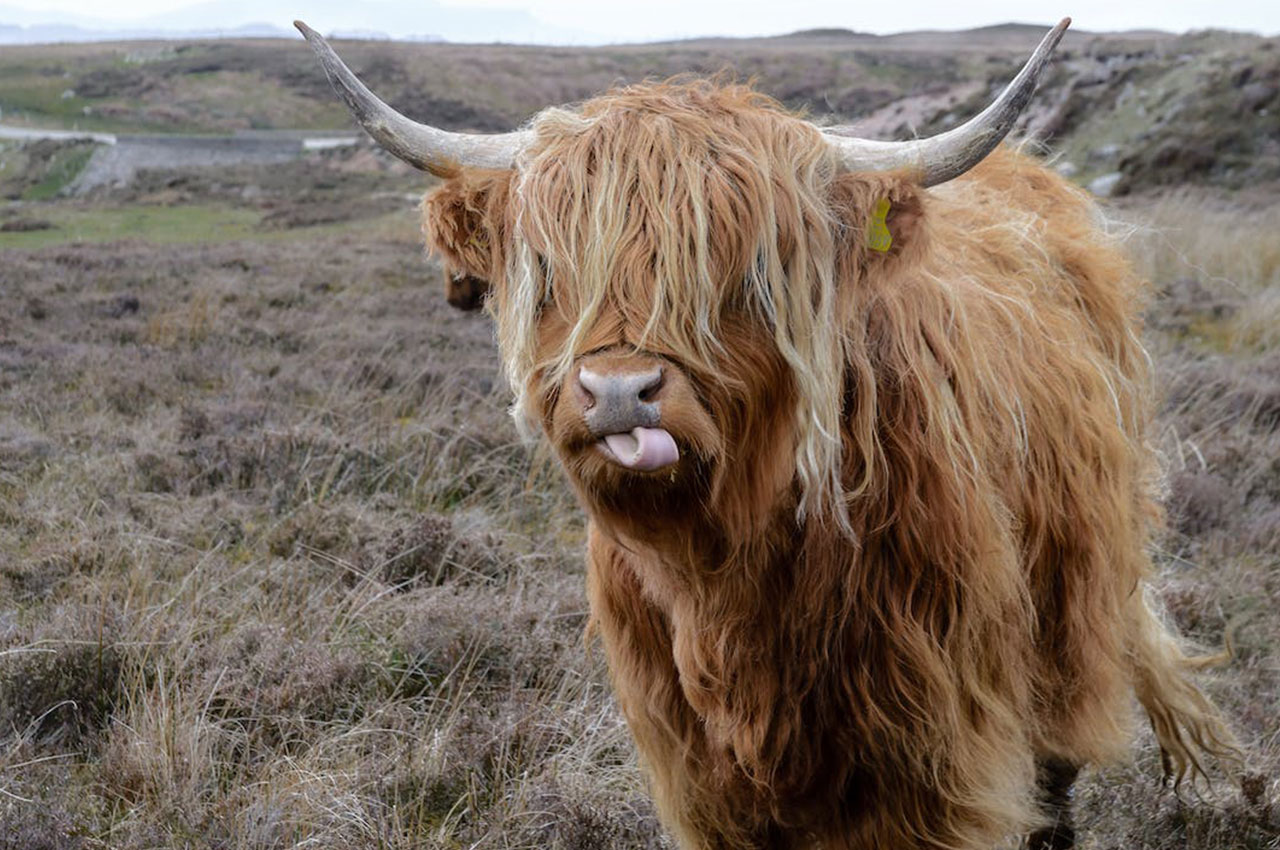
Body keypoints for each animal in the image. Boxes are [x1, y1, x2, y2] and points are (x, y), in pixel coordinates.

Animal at [299, 19, 1239, 850]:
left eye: (745, 273)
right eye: (552, 271)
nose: (618, 394)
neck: (727, 578)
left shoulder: (927, 760)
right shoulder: (697, 771)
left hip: (1073, 608)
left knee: (1056, 775)